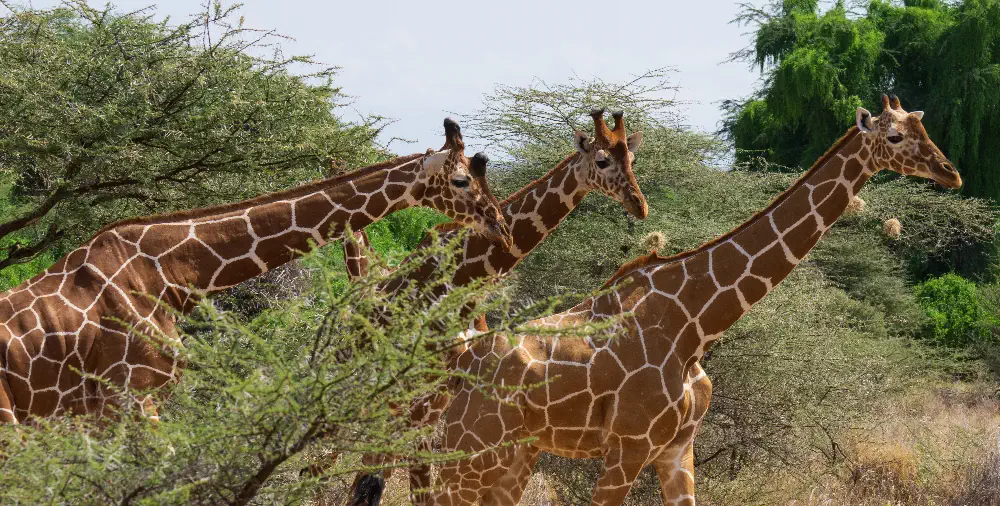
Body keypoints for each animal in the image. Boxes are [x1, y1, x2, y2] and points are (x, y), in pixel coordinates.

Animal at [429, 95, 962, 506]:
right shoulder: (627, 448)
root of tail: (455, 362)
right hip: (469, 452)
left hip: (513, 453)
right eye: (895, 137)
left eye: (924, 128)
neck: (695, 322)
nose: (950, 172)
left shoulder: (678, 451)